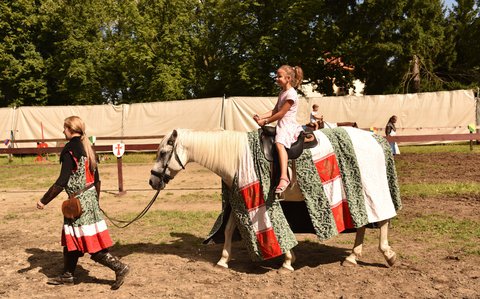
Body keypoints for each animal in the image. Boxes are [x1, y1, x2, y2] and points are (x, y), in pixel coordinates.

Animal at [148, 129, 400, 272]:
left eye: (163, 153)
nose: (152, 181)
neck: (235, 157)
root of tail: (376, 138)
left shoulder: (257, 202)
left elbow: (279, 232)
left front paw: (287, 262)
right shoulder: (240, 199)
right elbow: (229, 230)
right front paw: (223, 260)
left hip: (371, 189)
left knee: (382, 220)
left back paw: (388, 255)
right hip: (357, 195)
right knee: (363, 223)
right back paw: (352, 257)